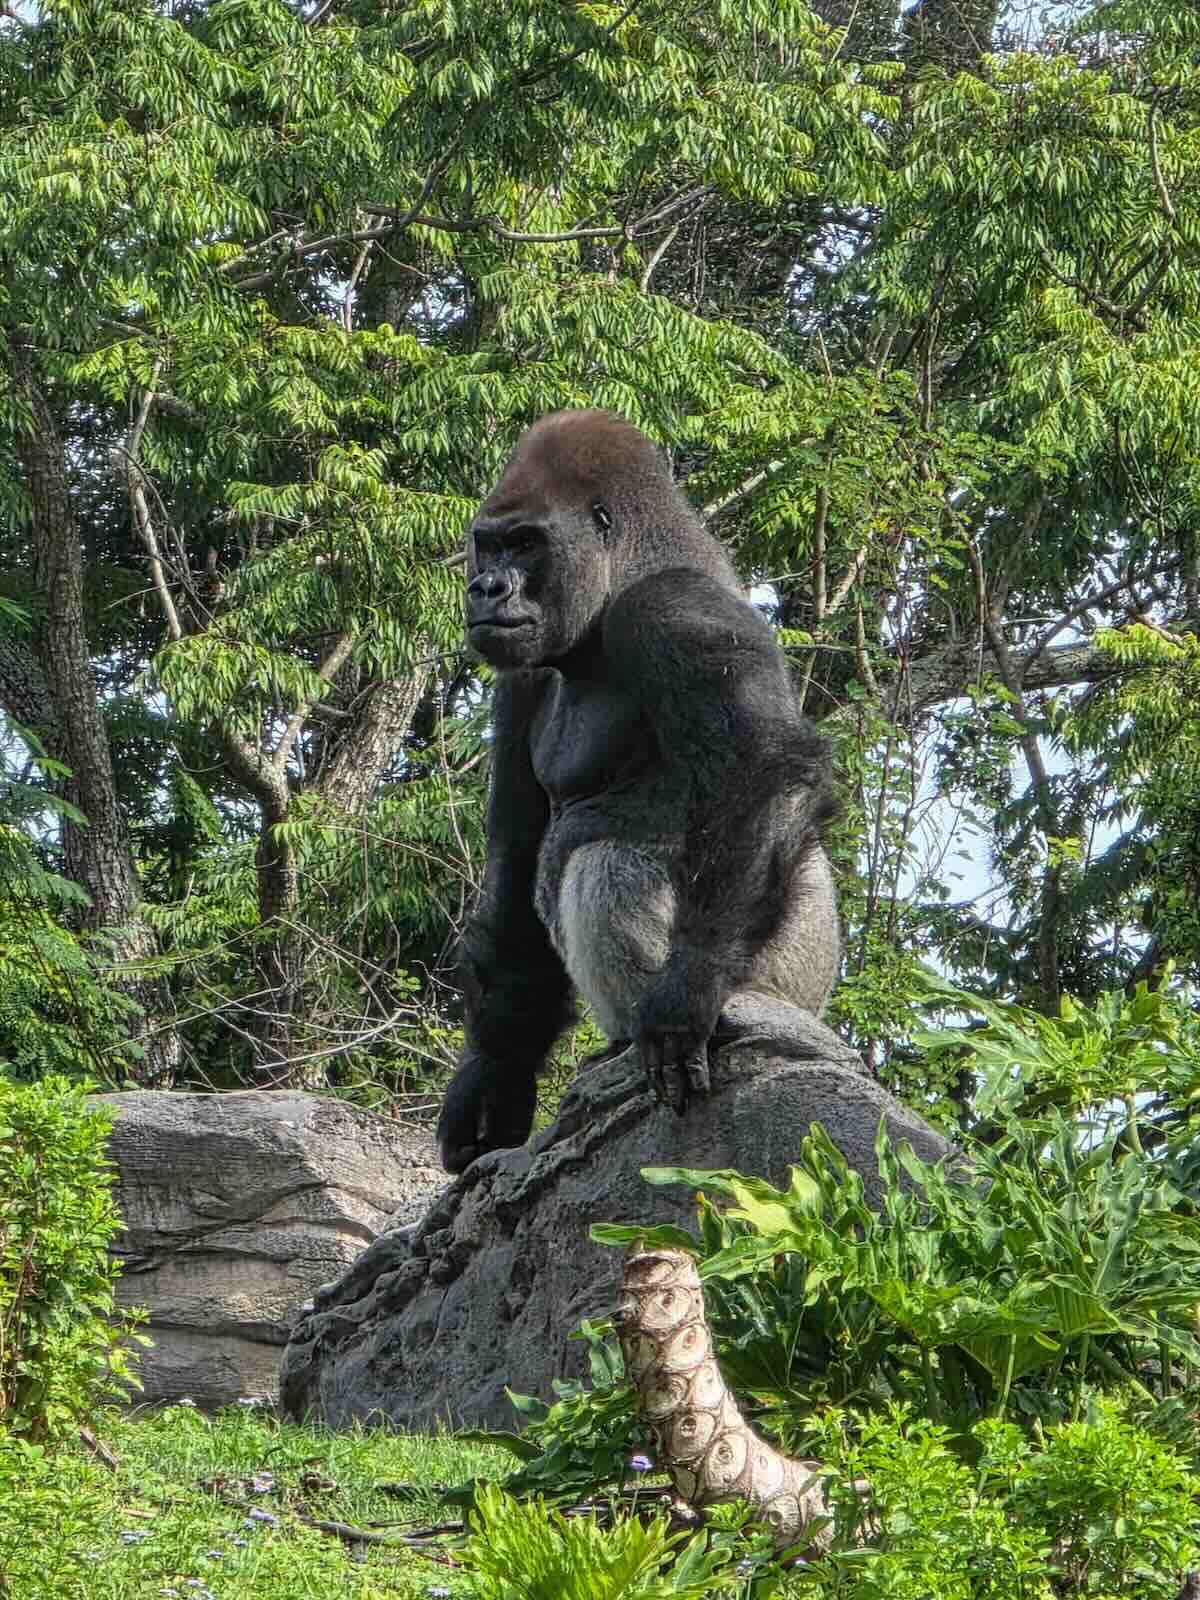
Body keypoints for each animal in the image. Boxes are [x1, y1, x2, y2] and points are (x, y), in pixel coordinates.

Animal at [436, 409, 839, 1176]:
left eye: (527, 544)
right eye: (489, 545)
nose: (487, 589)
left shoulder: (673, 611)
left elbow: (760, 771)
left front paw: (687, 994)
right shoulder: (521, 679)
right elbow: (515, 863)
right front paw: (492, 1077)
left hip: (792, 981)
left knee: (607, 860)